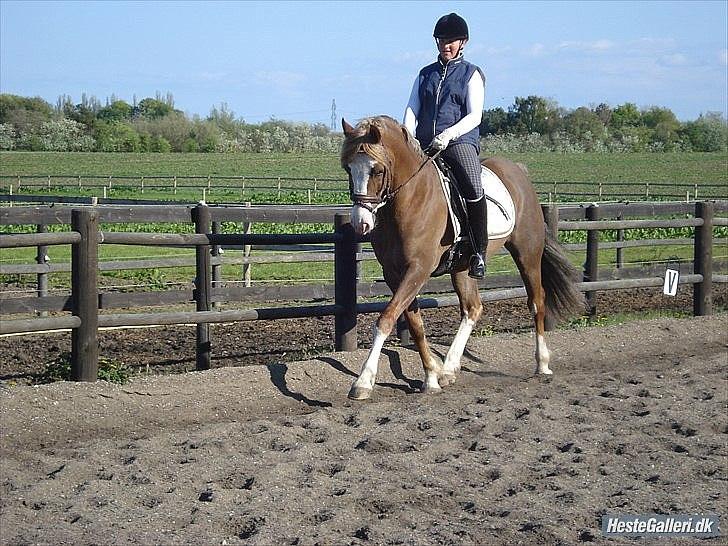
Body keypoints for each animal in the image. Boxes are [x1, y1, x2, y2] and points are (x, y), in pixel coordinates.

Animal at [342, 115, 584, 398]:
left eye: (377, 170)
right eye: (348, 169)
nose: (360, 223)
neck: (409, 200)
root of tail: (518, 171)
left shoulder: (418, 269)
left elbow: (386, 319)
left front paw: (363, 381)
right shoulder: (394, 273)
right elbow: (415, 325)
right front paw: (431, 377)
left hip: (527, 254)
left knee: (536, 301)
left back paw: (542, 364)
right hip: (462, 268)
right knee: (472, 308)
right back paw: (449, 369)